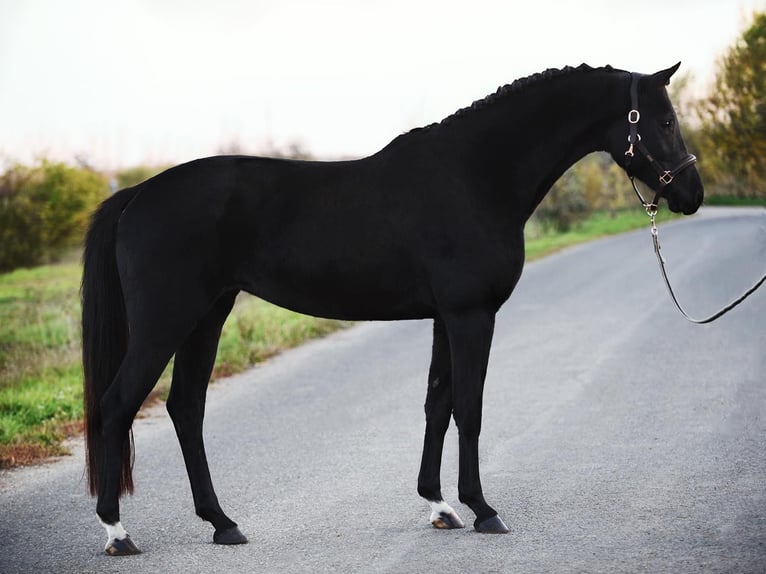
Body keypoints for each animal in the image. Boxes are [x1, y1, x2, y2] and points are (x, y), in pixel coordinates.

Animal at [82, 64, 704, 560]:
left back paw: (222, 523)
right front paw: (483, 510)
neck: (475, 175)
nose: (693, 195)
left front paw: (440, 506)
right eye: (664, 122)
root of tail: (138, 194)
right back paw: (117, 533)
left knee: (186, 408)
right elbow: (469, 409)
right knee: (117, 405)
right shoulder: (471, 315)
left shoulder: (446, 318)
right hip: (167, 322)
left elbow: (437, 403)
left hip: (207, 316)